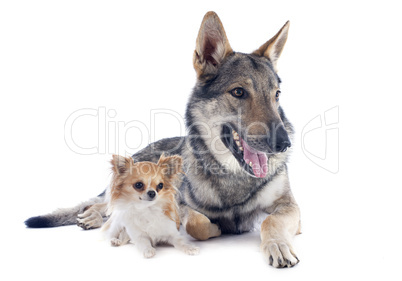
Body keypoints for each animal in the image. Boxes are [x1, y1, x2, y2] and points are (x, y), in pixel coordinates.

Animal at [25, 12, 302, 268]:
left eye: (276, 95)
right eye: (238, 92)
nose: (284, 143)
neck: (233, 177)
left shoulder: (290, 208)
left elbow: (270, 220)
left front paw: (277, 245)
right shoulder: (177, 204)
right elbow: (196, 223)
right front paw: (216, 228)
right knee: (106, 205)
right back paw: (92, 217)